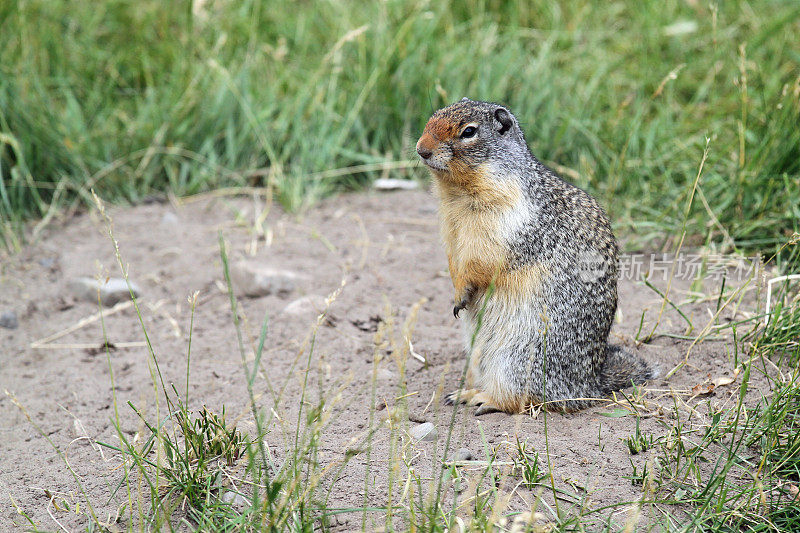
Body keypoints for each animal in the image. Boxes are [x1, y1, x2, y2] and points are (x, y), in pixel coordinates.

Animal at [416, 100, 652, 416]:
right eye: (433, 117)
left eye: (469, 132)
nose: (421, 149)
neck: (456, 194)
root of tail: (588, 384)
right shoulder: (450, 230)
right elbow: (454, 260)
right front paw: (456, 293)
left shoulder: (504, 226)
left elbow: (480, 263)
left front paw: (462, 295)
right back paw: (467, 393)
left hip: (515, 359)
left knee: (521, 399)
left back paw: (485, 399)